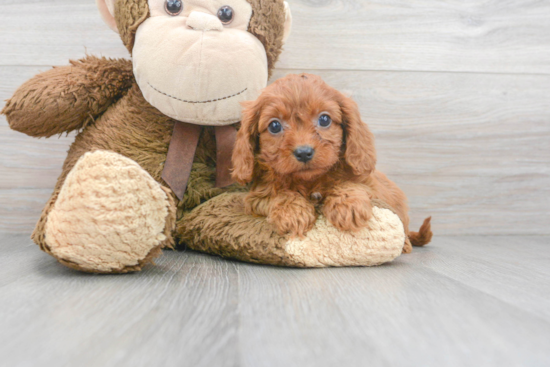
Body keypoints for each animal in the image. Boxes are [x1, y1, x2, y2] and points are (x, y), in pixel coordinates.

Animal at [231, 74, 434, 253]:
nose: (303, 152)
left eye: (324, 119)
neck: (310, 181)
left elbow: (351, 183)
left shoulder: (373, 187)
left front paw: (348, 205)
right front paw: (293, 212)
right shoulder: (256, 196)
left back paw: (406, 244)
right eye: (274, 126)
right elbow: (277, 194)